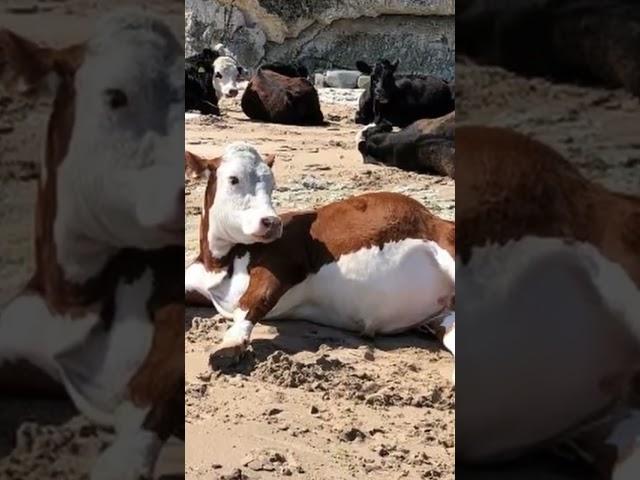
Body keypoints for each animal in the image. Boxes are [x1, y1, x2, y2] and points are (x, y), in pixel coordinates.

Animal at [185, 144, 456, 374]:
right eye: (233, 179)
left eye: (272, 184)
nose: (272, 222)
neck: (219, 263)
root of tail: (434, 217)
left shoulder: (285, 258)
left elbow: (254, 300)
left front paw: (229, 344)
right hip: (443, 318)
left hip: (446, 243)